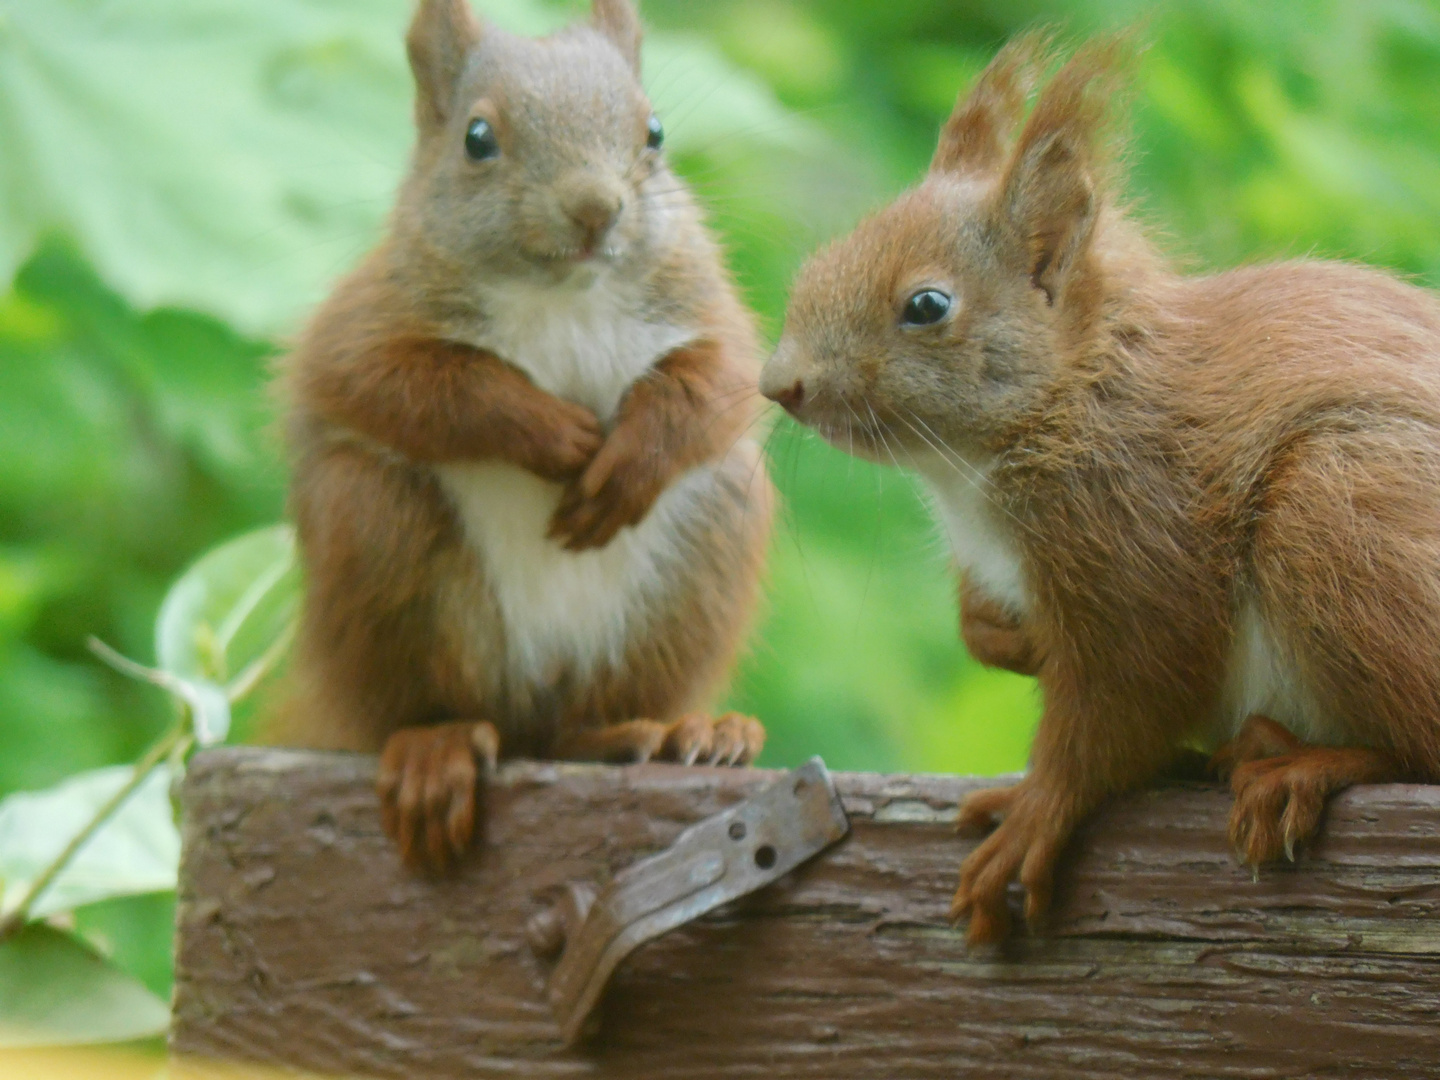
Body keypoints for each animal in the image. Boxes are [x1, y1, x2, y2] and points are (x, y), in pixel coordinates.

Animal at [275, 0, 783, 875]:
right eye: (477, 138)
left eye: (654, 132)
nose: (595, 207)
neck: (564, 294)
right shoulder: (367, 322)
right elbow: (402, 385)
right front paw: (553, 433)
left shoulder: (709, 309)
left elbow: (717, 384)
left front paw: (628, 461)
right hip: (376, 533)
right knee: (437, 707)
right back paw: (437, 747)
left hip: (707, 547)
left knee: (584, 722)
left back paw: (674, 732)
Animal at [760, 38, 1440, 944]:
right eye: (820, 260)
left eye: (927, 305)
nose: (778, 383)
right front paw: (1001, 635)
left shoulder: (1134, 532)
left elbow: (1124, 700)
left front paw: (1034, 809)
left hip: (1337, 511)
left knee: (1422, 743)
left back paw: (1301, 762)